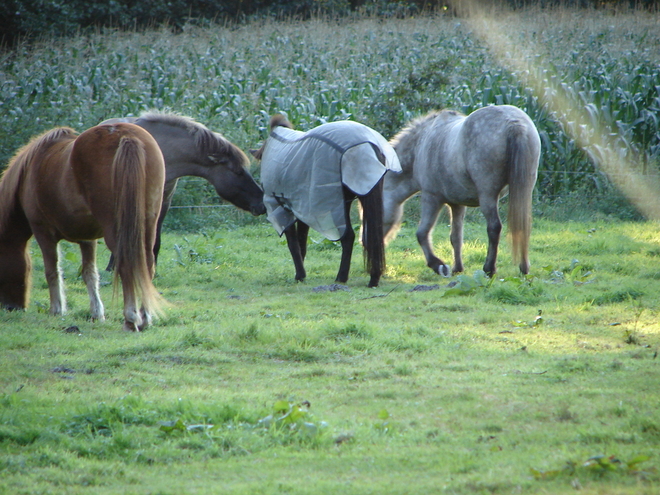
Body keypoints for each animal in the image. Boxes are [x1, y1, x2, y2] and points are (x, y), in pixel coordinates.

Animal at [0, 123, 165, 334]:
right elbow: (90, 274)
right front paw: (97, 313)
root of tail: (125, 135)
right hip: (148, 225)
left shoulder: (43, 232)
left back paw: (130, 320)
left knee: (127, 266)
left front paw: (57, 310)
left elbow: (52, 271)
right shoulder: (88, 238)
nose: (11, 308)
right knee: (147, 265)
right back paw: (144, 319)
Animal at [384, 104, 540, 278]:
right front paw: (457, 268)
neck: (421, 145)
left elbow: (422, 233)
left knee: (494, 227)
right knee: (523, 226)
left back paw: (489, 269)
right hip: (524, 189)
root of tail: (514, 123)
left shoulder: (431, 197)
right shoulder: (457, 204)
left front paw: (438, 265)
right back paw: (524, 268)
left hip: (488, 195)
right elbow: (456, 237)